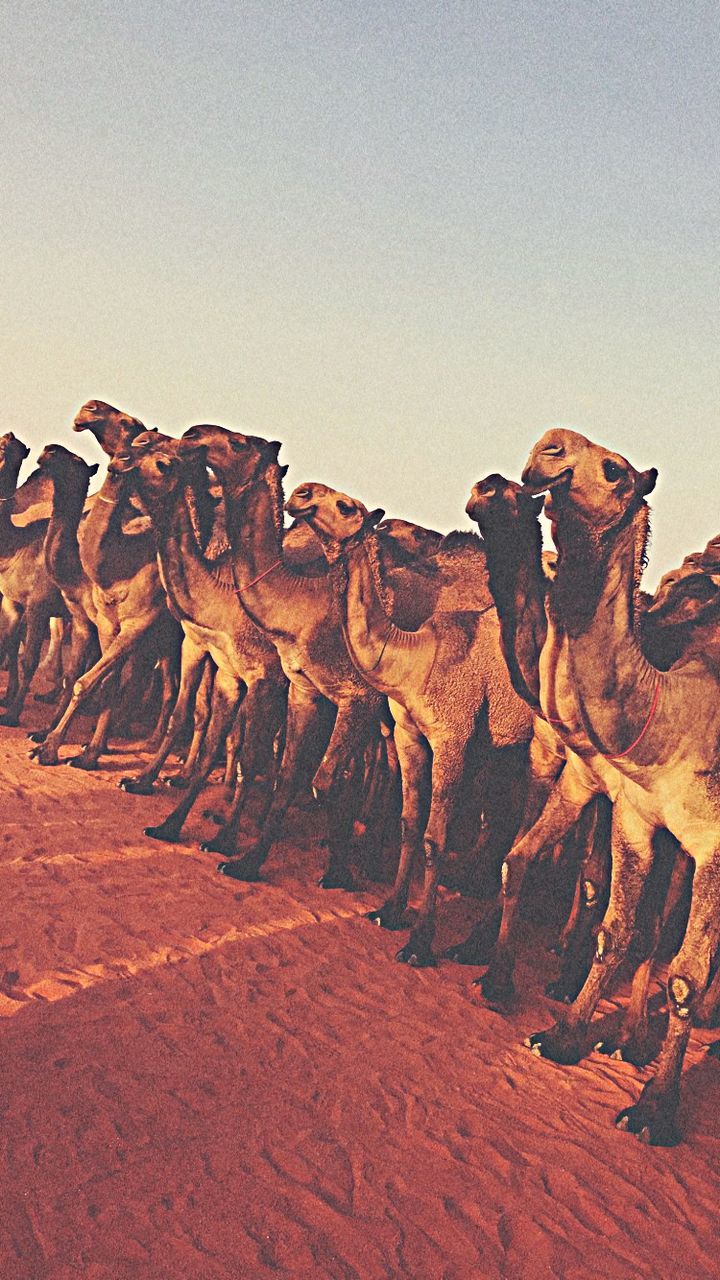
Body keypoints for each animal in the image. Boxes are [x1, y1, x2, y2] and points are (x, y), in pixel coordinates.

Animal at [174, 424, 389, 885]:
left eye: (238, 442)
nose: (193, 433)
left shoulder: (356, 697)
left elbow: (324, 778)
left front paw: (338, 872)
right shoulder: (304, 690)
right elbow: (289, 774)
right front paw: (243, 858)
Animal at [284, 483, 532, 962]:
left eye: (346, 506)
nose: (300, 494)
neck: (415, 657)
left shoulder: (453, 738)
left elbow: (436, 838)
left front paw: (419, 941)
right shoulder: (409, 735)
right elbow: (410, 822)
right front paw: (390, 910)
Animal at [509, 424, 717, 1146]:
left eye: (614, 471)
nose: (546, 450)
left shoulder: (714, 842)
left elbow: (686, 977)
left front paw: (655, 1109)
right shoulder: (638, 819)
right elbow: (616, 930)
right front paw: (566, 1035)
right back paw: (627, 1037)